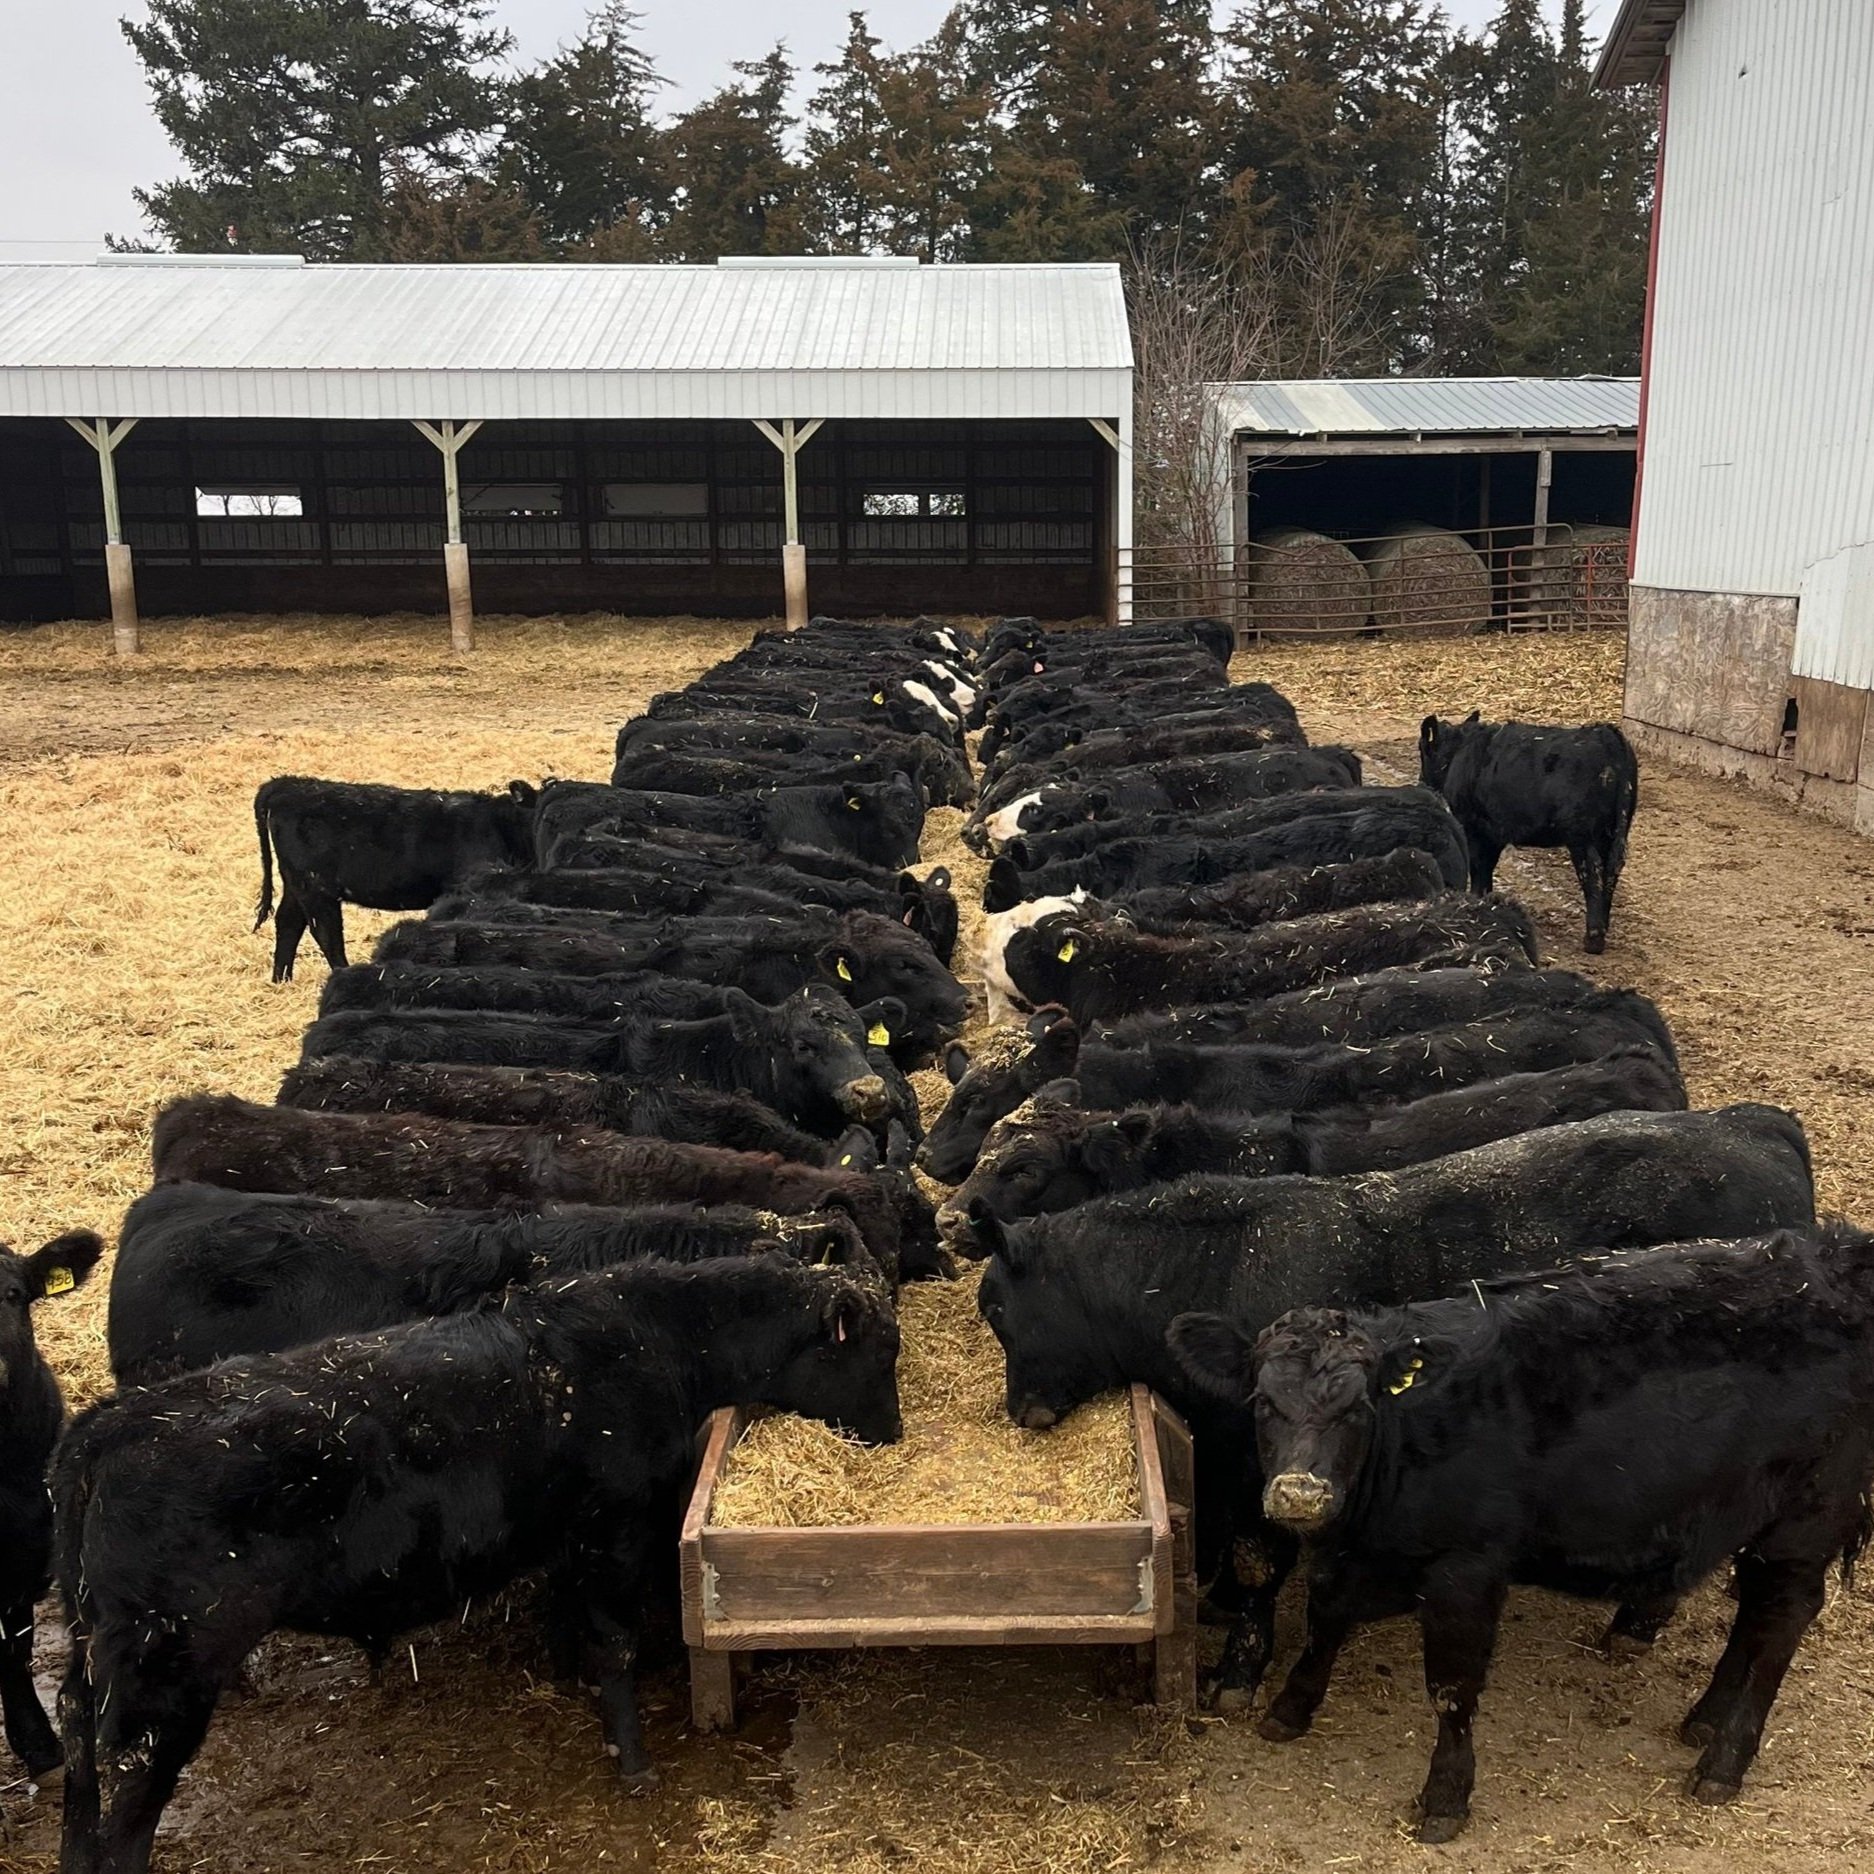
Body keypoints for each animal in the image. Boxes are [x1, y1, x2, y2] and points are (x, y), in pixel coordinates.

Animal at [54, 1257, 901, 1871]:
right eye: (878, 1354)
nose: (893, 1433)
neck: (652, 1339)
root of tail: (110, 1424)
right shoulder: (614, 1530)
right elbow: (616, 1644)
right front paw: (633, 1762)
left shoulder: (568, 1542)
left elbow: (578, 1633)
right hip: (166, 1678)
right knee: (129, 1805)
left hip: (98, 1671)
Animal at [252, 777, 540, 982]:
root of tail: (287, 784)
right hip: (315, 887)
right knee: (324, 932)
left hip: (296, 883)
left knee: (289, 922)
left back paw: (281, 980)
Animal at [974, 1103, 1816, 1704]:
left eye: (1001, 1310)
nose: (1023, 1411)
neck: (1218, 1264)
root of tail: (1753, 1127)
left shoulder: (1267, 1467)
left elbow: (1254, 1563)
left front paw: (1237, 1673)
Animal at [1169, 1224, 1874, 1837]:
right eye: (1263, 1402)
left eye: (1358, 1407)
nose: (1300, 1493)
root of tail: (1835, 1253)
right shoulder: (1354, 1555)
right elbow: (1325, 1620)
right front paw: (1290, 1709)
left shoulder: (1467, 1569)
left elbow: (1451, 1687)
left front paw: (1445, 1798)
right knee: (1753, 1618)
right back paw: (1702, 1721)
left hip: (1808, 1519)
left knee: (1780, 1623)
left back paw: (1723, 1762)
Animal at [1419, 713, 1640, 953]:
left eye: (1422, 749)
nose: (1421, 783)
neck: (1459, 753)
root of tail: (1606, 735)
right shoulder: (1493, 833)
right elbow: (1486, 869)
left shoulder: (1473, 829)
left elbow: (1478, 868)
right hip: (1612, 833)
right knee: (1611, 871)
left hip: (1583, 837)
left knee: (1593, 873)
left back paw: (1594, 939)